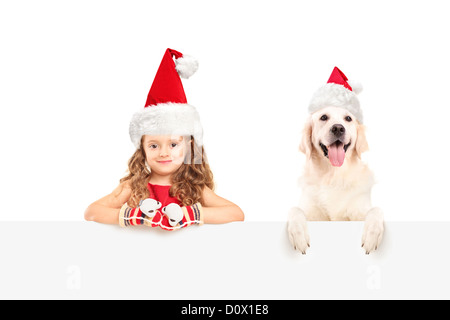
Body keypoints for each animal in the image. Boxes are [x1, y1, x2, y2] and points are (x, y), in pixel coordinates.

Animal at [288, 67, 384, 255]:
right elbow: (294, 210)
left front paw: (372, 235)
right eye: (323, 117)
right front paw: (298, 234)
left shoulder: (359, 211)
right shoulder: (311, 213)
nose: (338, 128)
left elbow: (377, 210)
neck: (333, 175)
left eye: (348, 118)